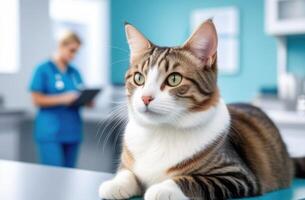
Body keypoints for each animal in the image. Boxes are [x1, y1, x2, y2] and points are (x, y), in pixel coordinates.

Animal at [98, 19, 302, 199]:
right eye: (139, 78)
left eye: (174, 79)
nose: (145, 97)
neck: (161, 131)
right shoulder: (128, 162)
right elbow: (126, 172)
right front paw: (115, 184)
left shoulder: (237, 174)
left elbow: (192, 180)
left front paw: (162, 188)